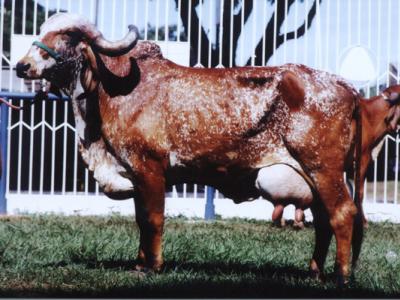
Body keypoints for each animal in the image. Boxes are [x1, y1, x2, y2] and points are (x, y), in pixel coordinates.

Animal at [17, 13, 362, 284]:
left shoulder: (150, 169)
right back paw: (314, 271)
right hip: (313, 177)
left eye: (66, 35)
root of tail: (345, 86)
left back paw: (342, 275)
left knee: (342, 214)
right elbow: (141, 219)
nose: (22, 66)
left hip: (323, 169)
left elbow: (153, 218)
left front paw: (154, 266)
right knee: (323, 221)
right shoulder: (135, 174)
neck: (110, 88)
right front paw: (139, 263)